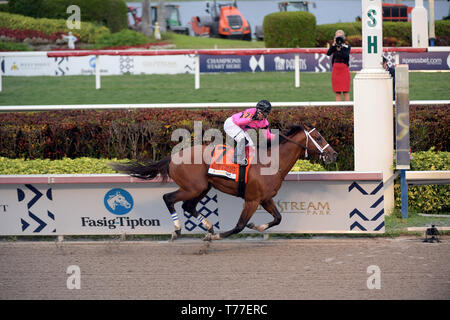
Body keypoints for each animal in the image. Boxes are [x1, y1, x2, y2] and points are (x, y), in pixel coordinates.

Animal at [112, 124, 338, 240]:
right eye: (318, 136)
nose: (333, 154)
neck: (272, 162)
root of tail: (173, 157)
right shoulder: (252, 199)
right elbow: (239, 225)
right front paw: (221, 235)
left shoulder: (265, 199)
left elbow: (278, 218)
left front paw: (257, 226)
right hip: (193, 187)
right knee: (169, 198)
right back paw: (178, 229)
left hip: (202, 188)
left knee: (188, 206)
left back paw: (208, 227)